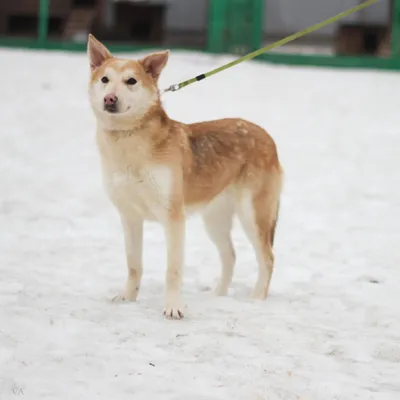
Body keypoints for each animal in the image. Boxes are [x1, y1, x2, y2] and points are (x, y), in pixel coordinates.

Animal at [86, 36, 282, 320]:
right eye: (104, 79)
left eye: (131, 81)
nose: (110, 98)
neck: (128, 140)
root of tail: (267, 135)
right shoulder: (129, 216)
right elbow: (134, 264)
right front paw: (127, 299)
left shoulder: (173, 218)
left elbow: (173, 270)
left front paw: (173, 308)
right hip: (215, 219)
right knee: (230, 255)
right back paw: (218, 296)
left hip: (253, 214)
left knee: (267, 257)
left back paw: (256, 300)